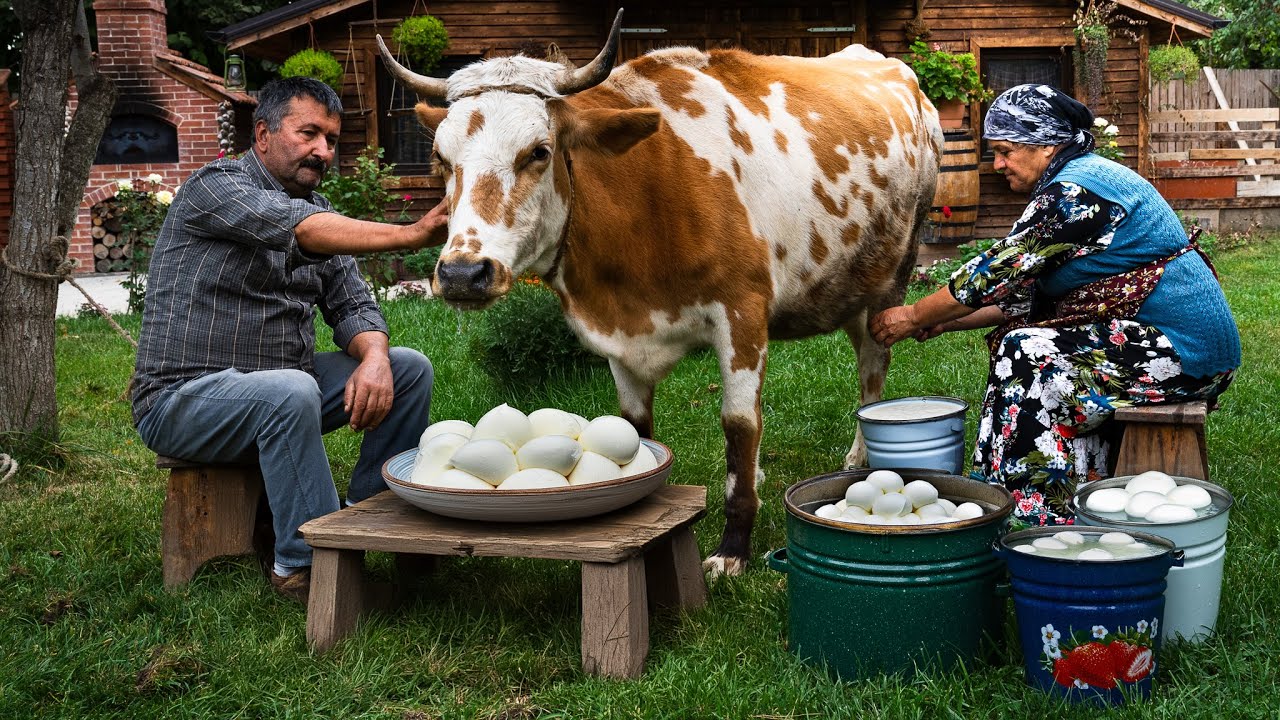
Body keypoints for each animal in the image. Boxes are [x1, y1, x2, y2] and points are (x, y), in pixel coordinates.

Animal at [379, 10, 943, 576]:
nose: (462, 273)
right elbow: (636, 427)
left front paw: (733, 546)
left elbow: (740, 424)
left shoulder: (742, 314)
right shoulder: (619, 338)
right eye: (439, 157)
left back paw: (860, 455)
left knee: (872, 367)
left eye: (538, 152)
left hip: (892, 278)